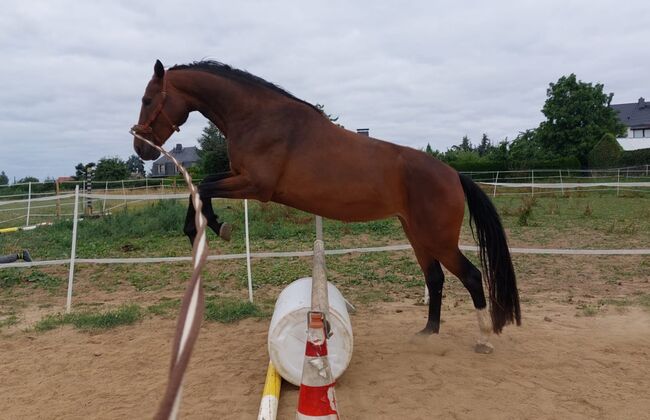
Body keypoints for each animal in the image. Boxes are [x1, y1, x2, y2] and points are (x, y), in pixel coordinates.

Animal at [133, 58, 520, 348]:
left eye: (148, 99)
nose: (141, 148)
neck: (259, 118)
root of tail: (453, 174)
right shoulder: (241, 178)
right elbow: (202, 186)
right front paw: (207, 227)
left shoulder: (255, 185)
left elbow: (202, 186)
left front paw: (211, 227)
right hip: (417, 235)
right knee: (436, 278)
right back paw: (428, 333)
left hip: (438, 239)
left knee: (471, 276)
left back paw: (483, 339)